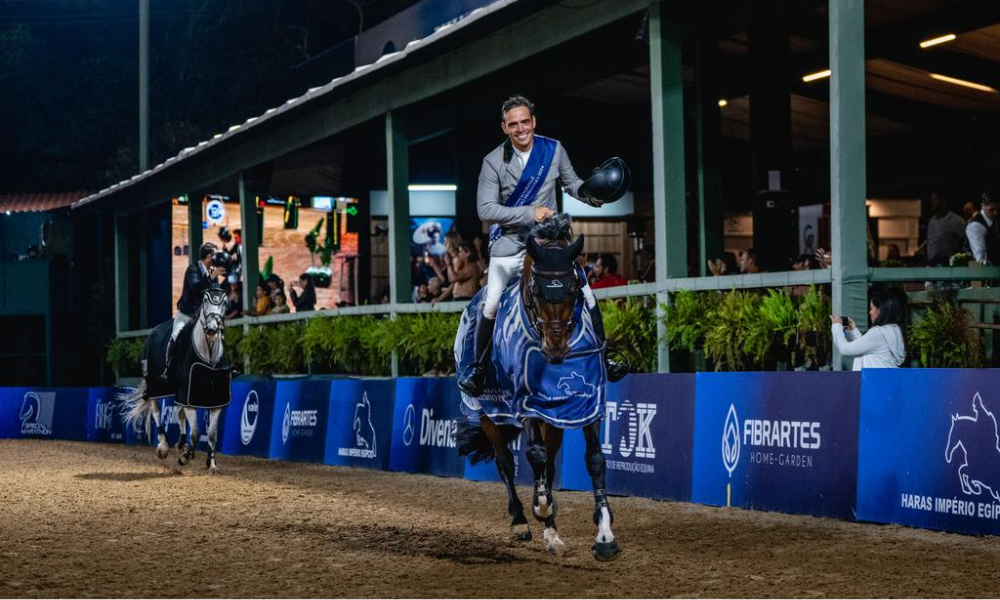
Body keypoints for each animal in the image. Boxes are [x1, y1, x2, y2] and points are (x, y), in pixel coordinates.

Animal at [122, 286, 230, 474]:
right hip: (155, 384)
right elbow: (196, 432)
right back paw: (163, 447)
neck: (207, 355)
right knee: (156, 410)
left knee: (179, 414)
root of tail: (153, 332)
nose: (211, 329)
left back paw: (182, 444)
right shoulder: (187, 396)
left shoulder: (215, 399)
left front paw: (212, 463)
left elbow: (211, 434)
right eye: (205, 300)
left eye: (225, 302)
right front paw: (184, 458)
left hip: (176, 390)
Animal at [458, 217, 620, 564]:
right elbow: (532, 454)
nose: (555, 349)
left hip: (553, 418)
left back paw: (552, 534)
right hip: (489, 413)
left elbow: (594, 460)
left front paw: (605, 537)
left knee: (548, 462)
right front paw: (542, 507)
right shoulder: (526, 404)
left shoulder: (586, 405)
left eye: (573, 286)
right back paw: (521, 520)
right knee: (505, 461)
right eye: (536, 289)